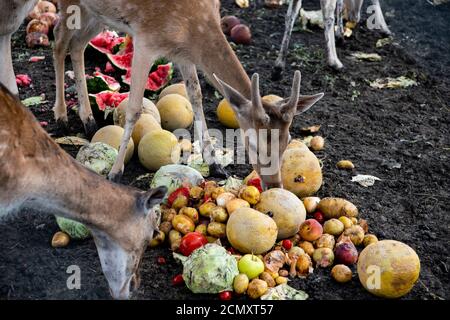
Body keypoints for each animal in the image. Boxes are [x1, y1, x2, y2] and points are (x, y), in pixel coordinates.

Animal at [51, 0, 324, 189]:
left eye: (287, 141)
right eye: (254, 145)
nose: (275, 185)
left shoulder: (183, 53)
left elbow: (196, 96)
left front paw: (215, 164)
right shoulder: (145, 40)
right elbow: (134, 108)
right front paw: (115, 172)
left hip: (97, 13)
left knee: (78, 45)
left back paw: (88, 120)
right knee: (59, 42)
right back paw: (61, 116)